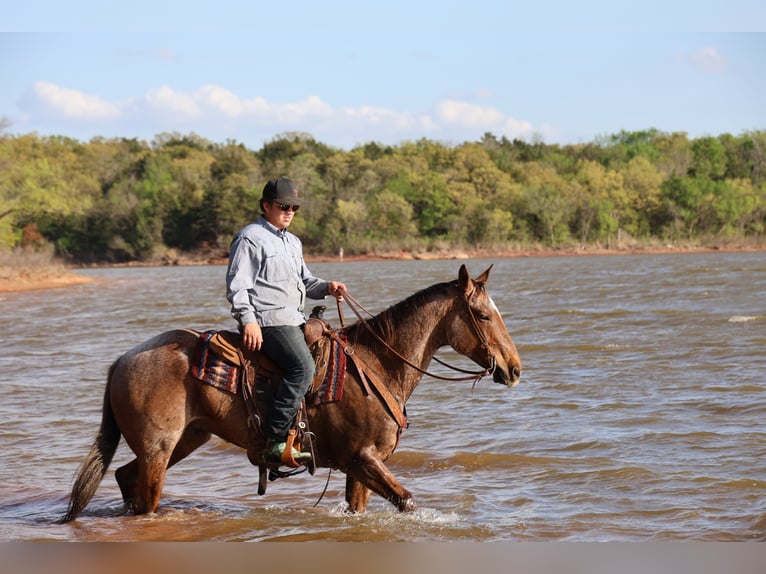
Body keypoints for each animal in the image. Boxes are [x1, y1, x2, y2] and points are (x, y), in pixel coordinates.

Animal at [62, 264, 521, 522]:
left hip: (187, 438)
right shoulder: (363, 458)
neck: (376, 366)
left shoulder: (358, 466)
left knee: (125, 478)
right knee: (144, 495)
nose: (515, 369)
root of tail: (122, 360)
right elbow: (407, 501)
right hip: (159, 448)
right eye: (482, 315)